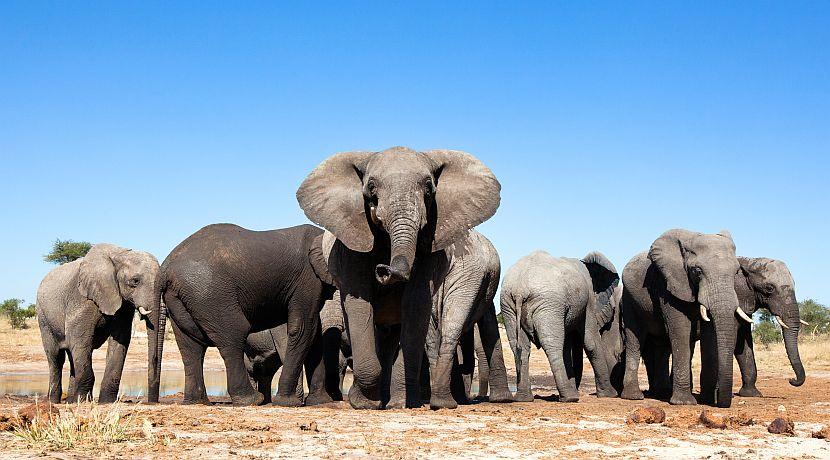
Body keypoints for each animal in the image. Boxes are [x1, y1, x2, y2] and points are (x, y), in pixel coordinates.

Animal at [36, 243, 161, 403]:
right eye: (135, 281)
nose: (153, 401)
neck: (119, 255)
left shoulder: (123, 304)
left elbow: (120, 340)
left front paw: (106, 402)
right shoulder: (82, 298)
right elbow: (80, 339)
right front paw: (82, 400)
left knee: (73, 356)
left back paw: (71, 400)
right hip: (43, 317)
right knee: (56, 357)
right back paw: (55, 401)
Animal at [147, 223, 336, 406]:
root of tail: (165, 268)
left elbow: (315, 333)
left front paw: (320, 401)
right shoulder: (308, 279)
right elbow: (303, 328)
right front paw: (288, 403)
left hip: (181, 297)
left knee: (191, 346)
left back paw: (197, 402)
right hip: (210, 292)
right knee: (233, 335)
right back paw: (252, 400)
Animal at [297, 146, 512, 409]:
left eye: (429, 189)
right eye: (371, 188)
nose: (383, 269)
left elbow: (415, 304)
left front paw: (399, 403)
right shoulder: (350, 245)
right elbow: (360, 304)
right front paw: (365, 403)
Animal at [499, 250, 621, 402]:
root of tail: (520, 289)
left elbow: (567, 347)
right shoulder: (589, 303)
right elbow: (591, 343)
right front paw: (610, 395)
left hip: (508, 305)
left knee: (520, 347)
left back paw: (524, 398)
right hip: (548, 304)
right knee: (552, 344)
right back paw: (570, 398)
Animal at [621, 228, 742, 408]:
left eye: (736, 272)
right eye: (697, 271)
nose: (721, 401)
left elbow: (709, 336)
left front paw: (706, 400)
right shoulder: (668, 284)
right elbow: (680, 331)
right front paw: (684, 402)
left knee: (662, 346)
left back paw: (662, 393)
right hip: (629, 300)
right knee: (635, 339)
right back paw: (633, 396)